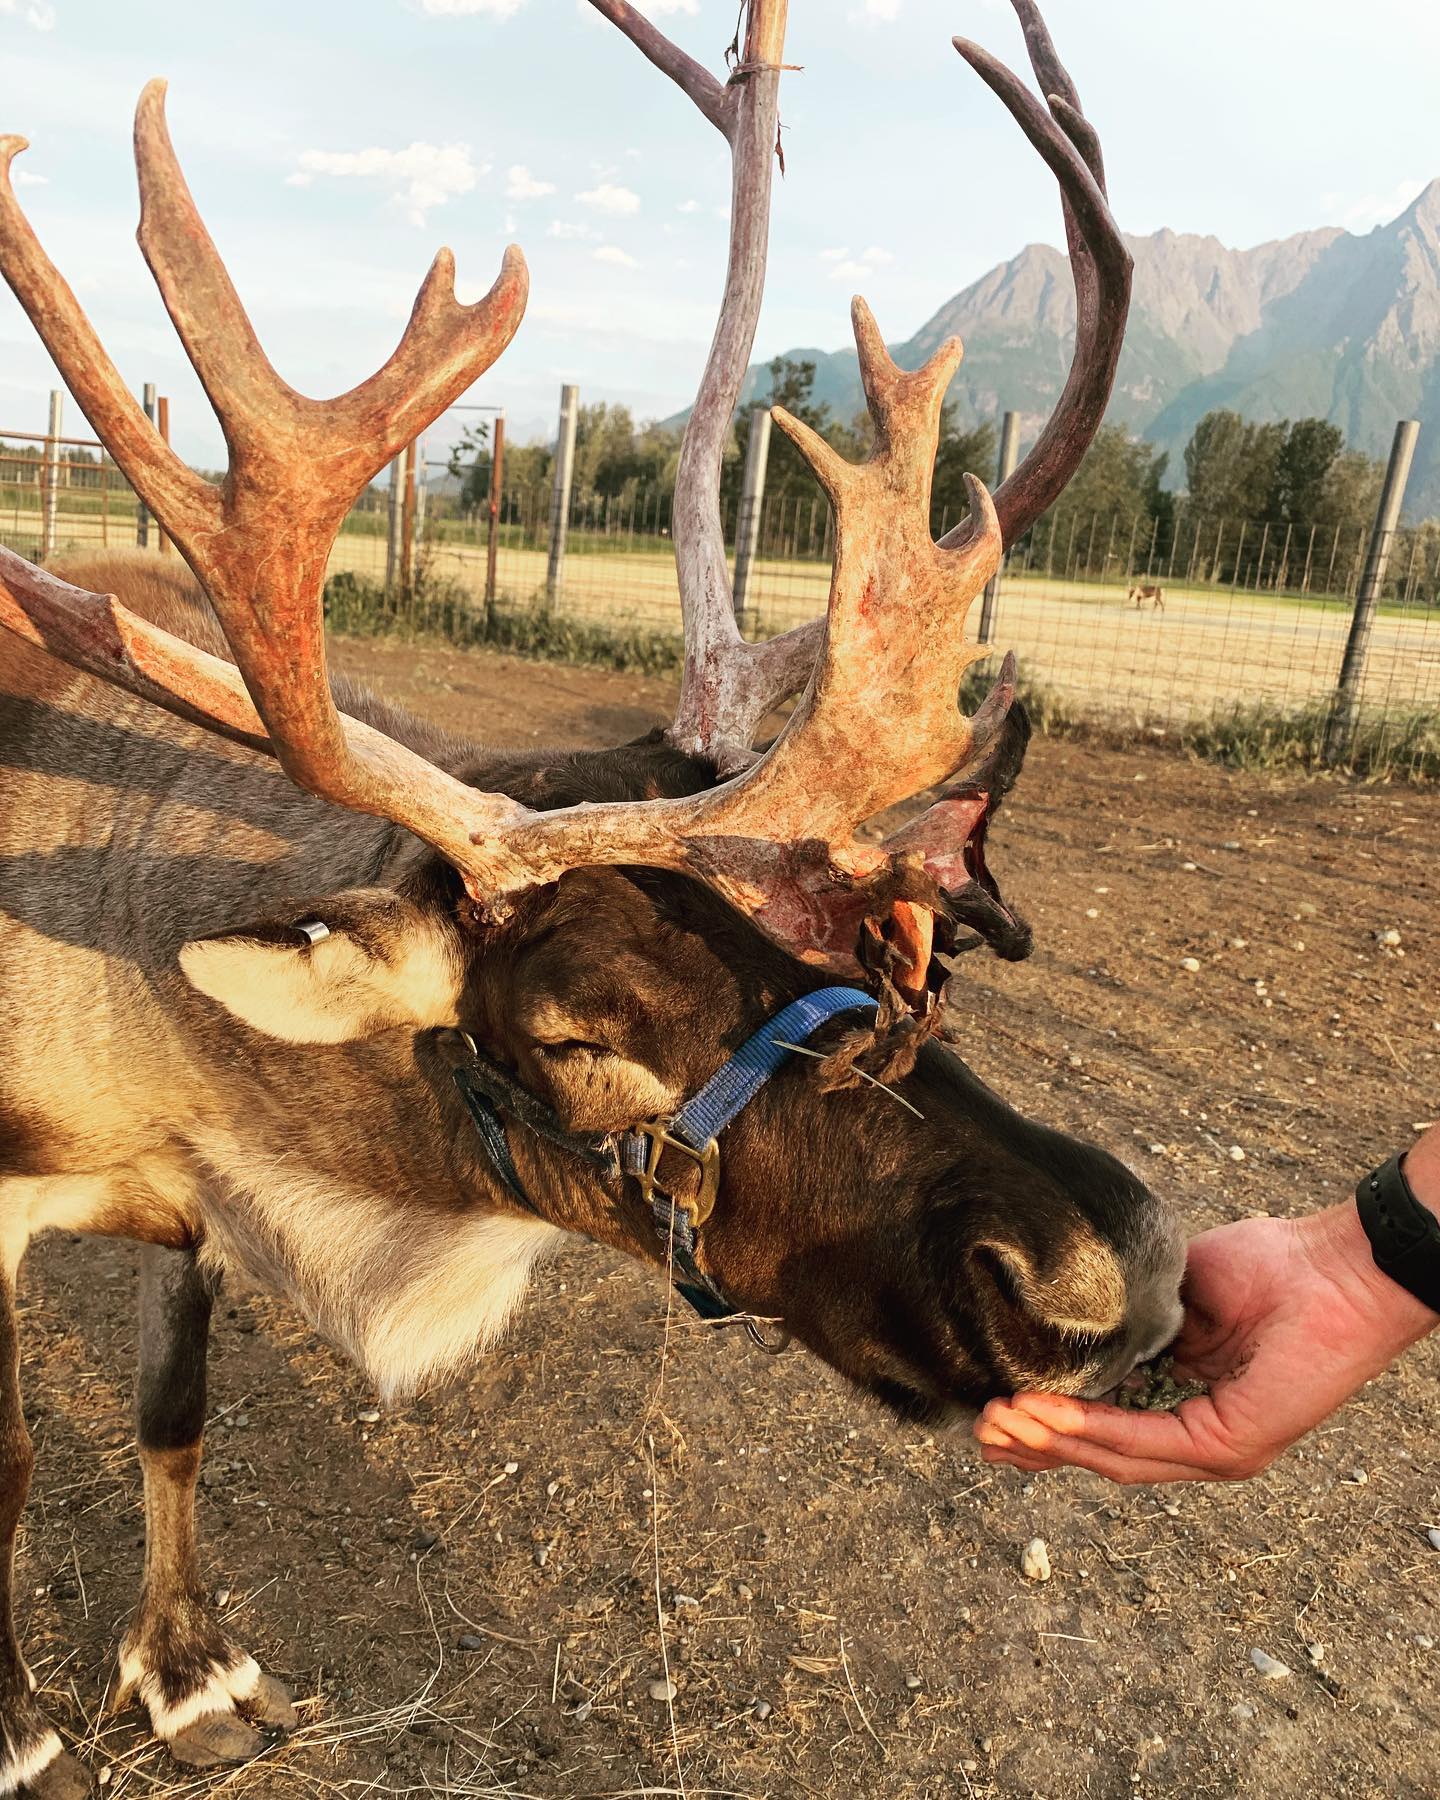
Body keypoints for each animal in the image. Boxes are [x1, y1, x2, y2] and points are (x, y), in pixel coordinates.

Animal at [0, 4, 1179, 1794]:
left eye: (844, 934)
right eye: (568, 1032)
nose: (1103, 1263)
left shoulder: (186, 1201)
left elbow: (174, 1407)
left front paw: (191, 1669)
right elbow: (9, 1462)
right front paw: (26, 1731)